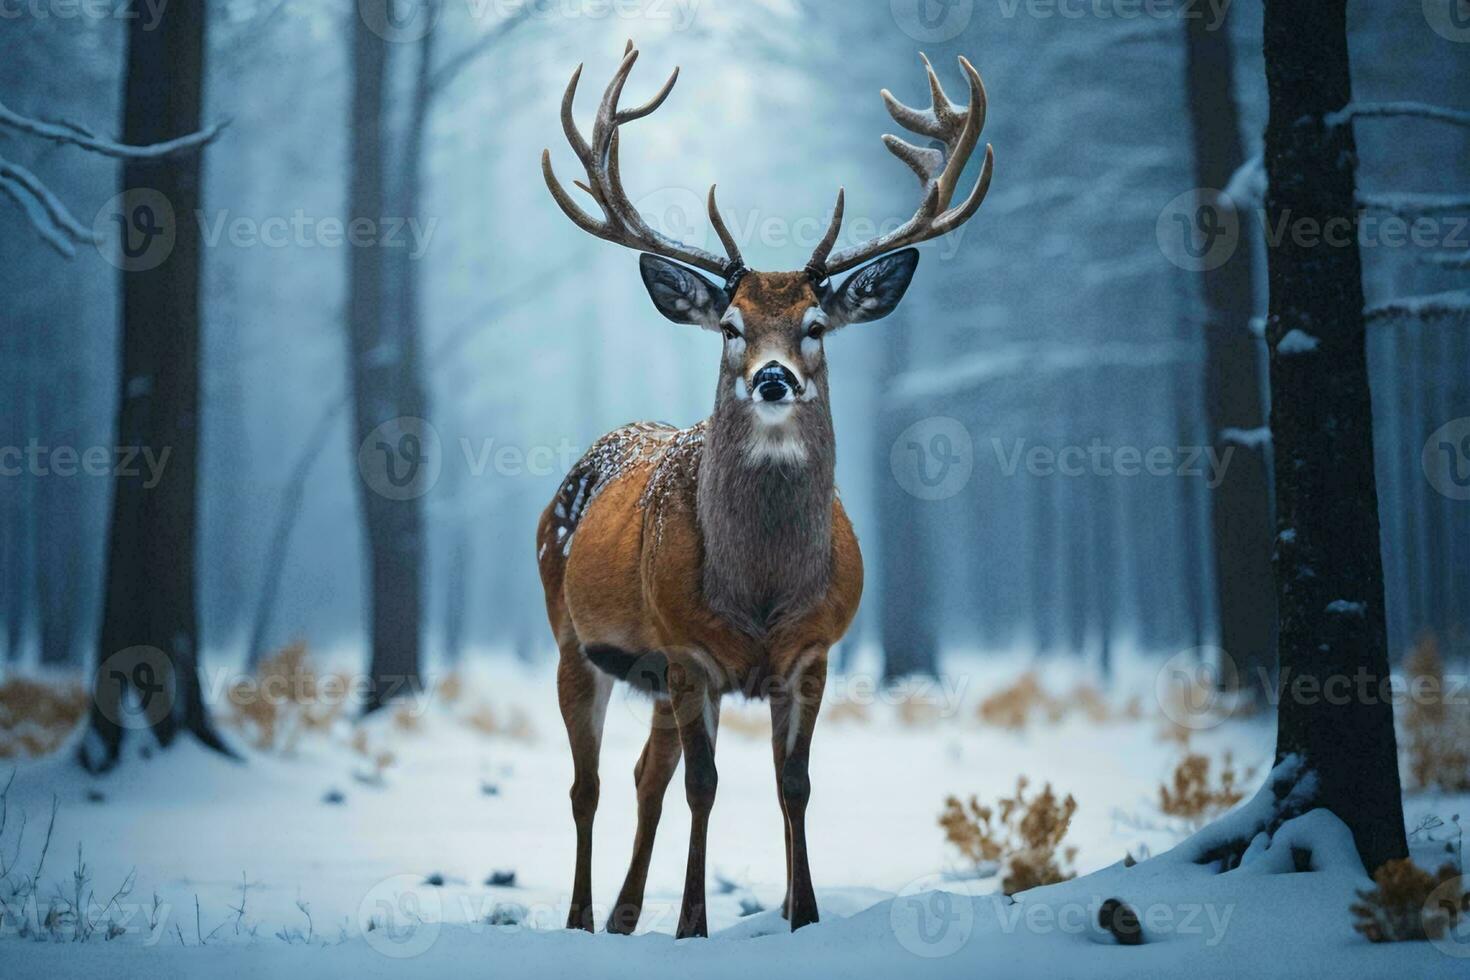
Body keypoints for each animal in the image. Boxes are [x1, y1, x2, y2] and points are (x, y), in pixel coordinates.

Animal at [535, 42, 993, 940]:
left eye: (816, 326)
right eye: (729, 326)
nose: (773, 378)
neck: (760, 592)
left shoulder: (814, 652)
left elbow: (794, 785)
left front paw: (802, 915)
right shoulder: (687, 651)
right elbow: (704, 786)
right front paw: (693, 927)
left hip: (648, 671)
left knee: (642, 774)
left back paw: (624, 916)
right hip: (574, 637)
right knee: (587, 785)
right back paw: (581, 920)